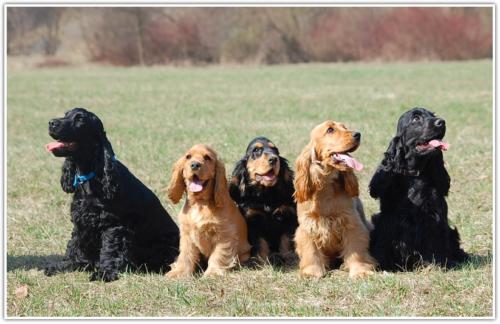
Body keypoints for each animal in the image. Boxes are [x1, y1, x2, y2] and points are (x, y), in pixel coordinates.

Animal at [43, 108, 180, 280]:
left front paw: (104, 272)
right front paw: (67, 265)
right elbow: (75, 244)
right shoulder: (82, 221)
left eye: (80, 119)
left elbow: (110, 249)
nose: (51, 122)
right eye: (66, 114)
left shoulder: (113, 225)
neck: (91, 177)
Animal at [165, 145, 252, 278]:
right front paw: (179, 272)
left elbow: (218, 255)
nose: (195, 165)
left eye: (207, 158)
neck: (200, 203)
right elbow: (186, 254)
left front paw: (213, 273)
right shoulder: (186, 234)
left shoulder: (224, 234)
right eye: (188, 157)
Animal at [229, 137, 296, 266]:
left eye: (275, 150)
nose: (274, 159)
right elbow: (260, 243)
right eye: (256, 150)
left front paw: (289, 258)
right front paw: (260, 262)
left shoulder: (287, 215)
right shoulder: (253, 220)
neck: (266, 194)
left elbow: (286, 241)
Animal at [292, 120, 376, 278]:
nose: (357, 134)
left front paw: (360, 270)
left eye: (345, 127)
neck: (326, 185)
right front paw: (312, 272)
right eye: (330, 130)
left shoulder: (352, 223)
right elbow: (310, 250)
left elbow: (356, 250)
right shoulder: (307, 226)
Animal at [368, 107, 468, 270]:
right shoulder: (388, 221)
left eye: (433, 115)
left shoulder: (435, 218)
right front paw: (382, 265)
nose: (442, 122)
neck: (415, 175)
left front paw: (439, 263)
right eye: (416, 118)